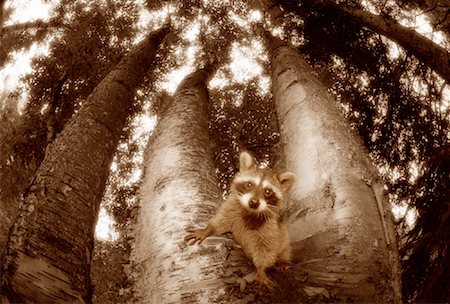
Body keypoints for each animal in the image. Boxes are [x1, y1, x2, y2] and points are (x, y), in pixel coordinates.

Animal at [185, 151, 296, 288]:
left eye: (268, 191)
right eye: (249, 184)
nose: (254, 202)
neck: (250, 211)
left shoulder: (270, 225)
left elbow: (266, 248)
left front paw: (261, 269)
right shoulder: (232, 207)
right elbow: (221, 220)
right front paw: (208, 229)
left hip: (283, 238)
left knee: (284, 247)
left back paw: (283, 261)